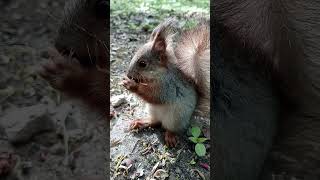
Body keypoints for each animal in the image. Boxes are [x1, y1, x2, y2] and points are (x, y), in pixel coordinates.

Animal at [122, 18, 210, 148]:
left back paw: (170, 137)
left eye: (143, 64)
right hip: (152, 110)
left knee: (169, 128)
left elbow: (155, 96)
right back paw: (140, 122)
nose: (128, 75)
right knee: (155, 122)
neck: (158, 75)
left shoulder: (168, 87)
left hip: (175, 118)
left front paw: (132, 85)